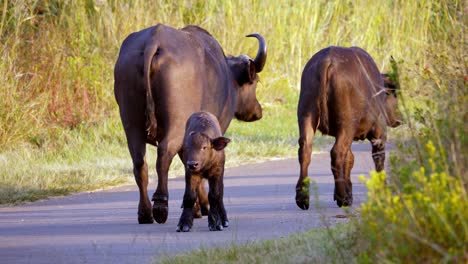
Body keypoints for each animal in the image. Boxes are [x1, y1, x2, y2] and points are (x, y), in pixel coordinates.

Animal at [114, 23, 266, 224]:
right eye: (255, 81)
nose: (258, 111)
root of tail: (154, 39)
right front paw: (203, 207)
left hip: (131, 123)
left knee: (139, 162)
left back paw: (145, 212)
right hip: (176, 124)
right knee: (164, 154)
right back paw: (160, 206)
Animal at [296, 46, 402, 209]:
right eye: (395, 94)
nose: (399, 118)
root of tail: (327, 61)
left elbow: (350, 159)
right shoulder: (379, 134)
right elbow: (378, 160)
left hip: (306, 117)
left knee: (305, 150)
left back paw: (303, 198)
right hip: (346, 125)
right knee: (337, 153)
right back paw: (342, 197)